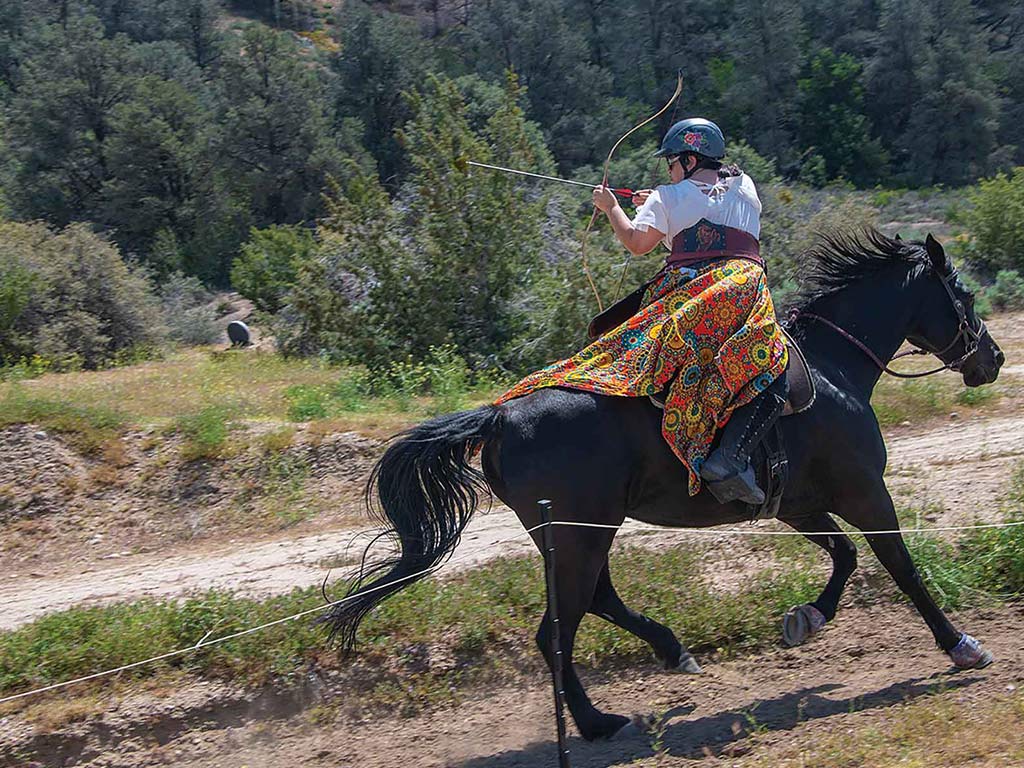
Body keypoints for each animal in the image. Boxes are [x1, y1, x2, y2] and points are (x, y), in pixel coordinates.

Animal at [323, 231, 1003, 741]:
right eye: (964, 294)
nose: (992, 359)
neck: (834, 370)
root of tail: (498, 417)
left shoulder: (799, 506)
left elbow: (845, 558)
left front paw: (807, 618)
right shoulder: (865, 493)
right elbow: (901, 567)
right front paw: (960, 645)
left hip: (577, 534)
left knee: (595, 603)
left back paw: (671, 652)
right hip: (581, 536)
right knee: (557, 631)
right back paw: (598, 723)